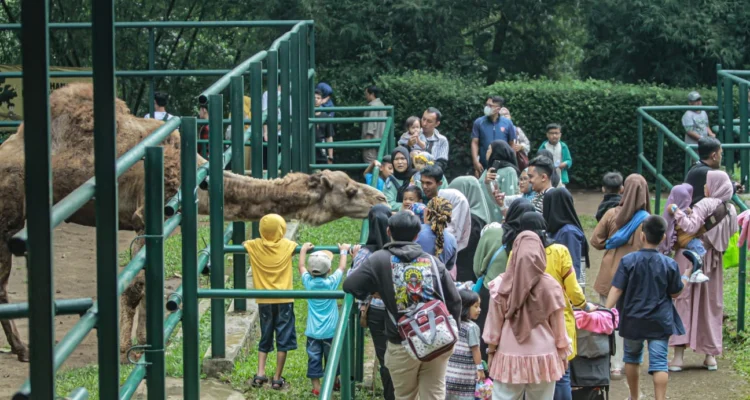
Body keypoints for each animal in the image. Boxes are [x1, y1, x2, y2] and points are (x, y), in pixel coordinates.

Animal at [0, 82, 388, 362]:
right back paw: (23, 351)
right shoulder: (145, 215)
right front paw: (127, 353)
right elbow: (135, 286)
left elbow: (148, 283)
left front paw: (144, 345)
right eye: (350, 189)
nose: (381, 198)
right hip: (7, 212)